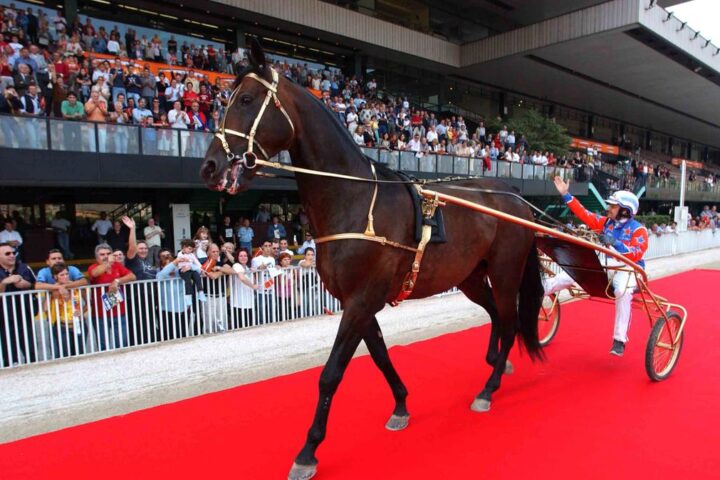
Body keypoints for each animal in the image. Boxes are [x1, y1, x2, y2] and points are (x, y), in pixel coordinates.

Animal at [200, 40, 545, 480]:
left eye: (245, 99)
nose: (210, 165)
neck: (355, 198)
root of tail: (514, 196)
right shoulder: (357, 301)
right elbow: (380, 355)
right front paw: (401, 404)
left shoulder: (362, 301)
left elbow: (331, 374)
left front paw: (308, 450)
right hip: (470, 276)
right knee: (499, 317)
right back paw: (494, 364)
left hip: (504, 272)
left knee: (510, 317)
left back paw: (489, 387)